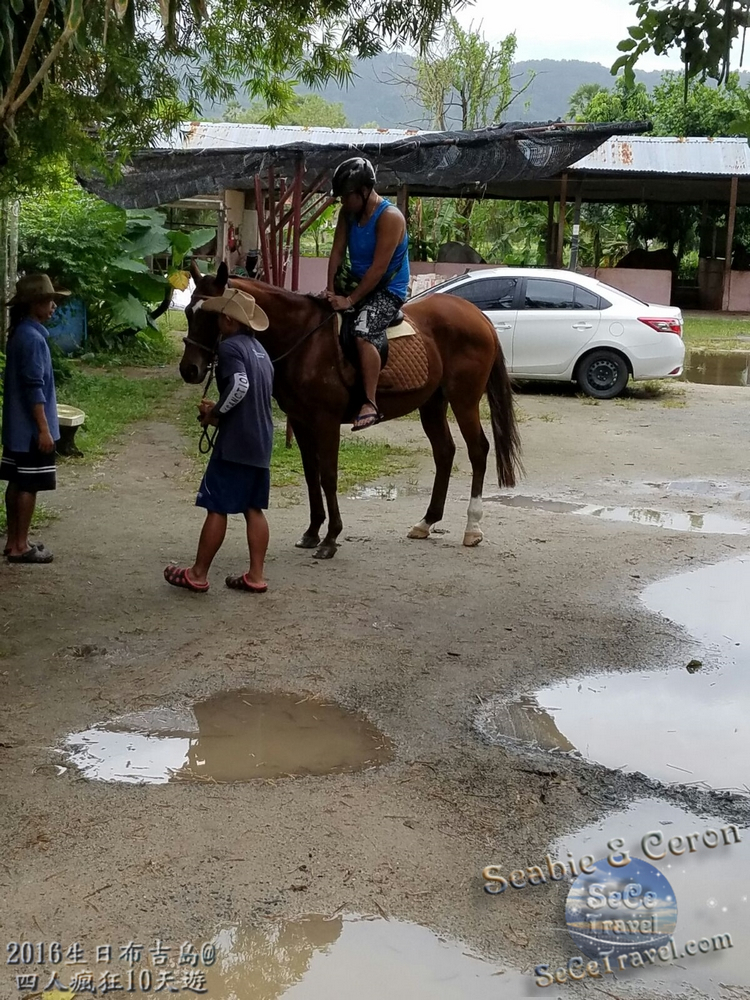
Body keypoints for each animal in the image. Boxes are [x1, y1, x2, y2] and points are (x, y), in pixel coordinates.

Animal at [182, 266, 524, 560]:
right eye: (188, 312)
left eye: (213, 315)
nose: (189, 369)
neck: (304, 339)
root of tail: (477, 315)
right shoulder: (300, 420)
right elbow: (311, 474)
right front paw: (312, 531)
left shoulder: (326, 421)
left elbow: (329, 476)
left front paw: (331, 538)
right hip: (432, 403)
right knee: (445, 451)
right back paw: (426, 522)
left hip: (464, 400)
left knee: (478, 451)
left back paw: (472, 527)